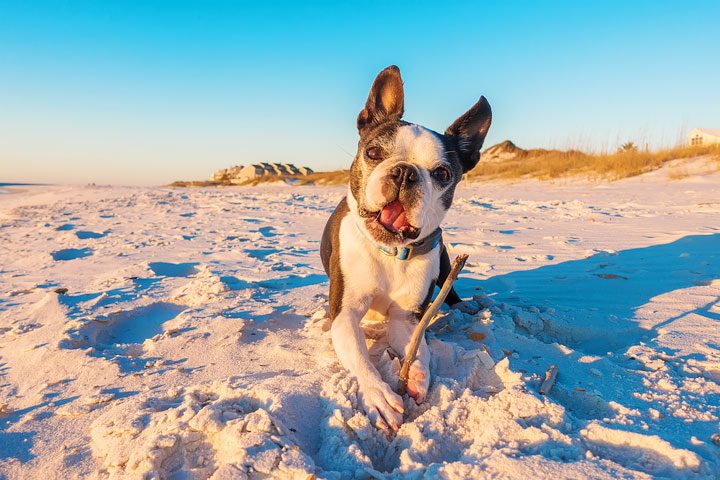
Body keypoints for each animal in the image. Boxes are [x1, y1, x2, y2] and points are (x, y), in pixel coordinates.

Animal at [322, 66, 496, 432]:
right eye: (373, 153)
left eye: (442, 173)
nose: (404, 172)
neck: (390, 251)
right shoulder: (345, 316)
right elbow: (361, 358)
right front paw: (378, 394)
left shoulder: (405, 317)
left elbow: (420, 347)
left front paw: (416, 372)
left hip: (444, 261)